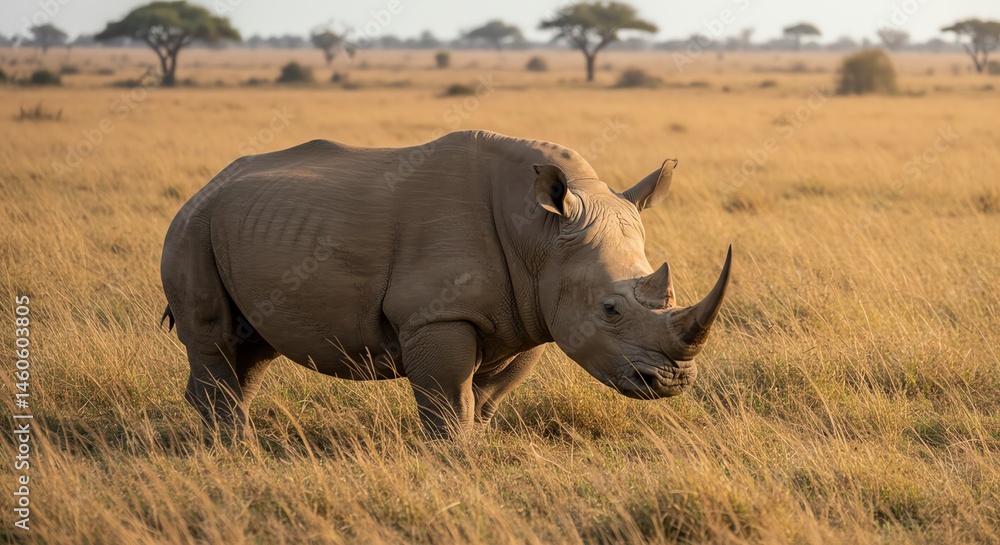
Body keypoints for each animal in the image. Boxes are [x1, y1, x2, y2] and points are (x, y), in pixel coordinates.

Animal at [160, 130, 731, 437]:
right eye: (610, 309)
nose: (672, 383)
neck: (541, 236)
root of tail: (209, 183)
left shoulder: (530, 311)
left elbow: (486, 398)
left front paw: (475, 447)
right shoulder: (435, 314)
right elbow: (447, 401)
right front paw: (452, 459)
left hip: (235, 222)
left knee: (253, 348)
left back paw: (227, 439)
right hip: (192, 224)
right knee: (214, 336)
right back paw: (234, 446)